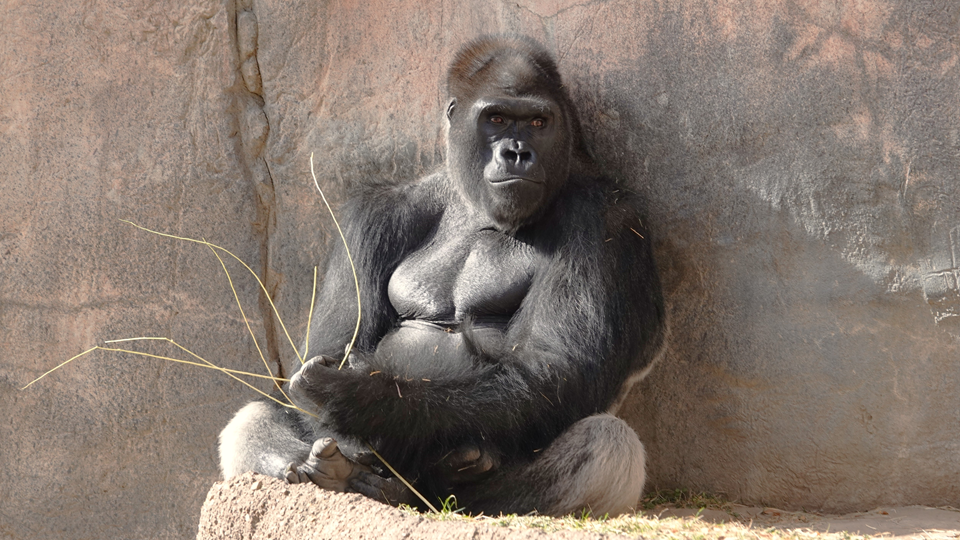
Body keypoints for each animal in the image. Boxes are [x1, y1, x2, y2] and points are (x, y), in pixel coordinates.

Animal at [219, 35, 665, 516]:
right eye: (497, 118)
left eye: (539, 122)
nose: (517, 153)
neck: (473, 203)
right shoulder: (374, 213)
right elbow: (333, 345)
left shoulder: (606, 220)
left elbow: (556, 366)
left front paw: (362, 403)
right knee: (250, 420)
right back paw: (346, 474)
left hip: (452, 500)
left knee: (606, 444)